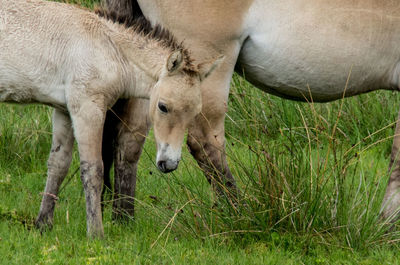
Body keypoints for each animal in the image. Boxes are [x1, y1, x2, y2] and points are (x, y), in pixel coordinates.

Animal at [0, 0, 220, 235]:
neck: (108, 49)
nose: (169, 164)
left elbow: (58, 165)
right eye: (163, 107)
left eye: (195, 113)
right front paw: (96, 233)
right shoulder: (87, 108)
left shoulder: (64, 110)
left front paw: (43, 224)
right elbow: (93, 169)